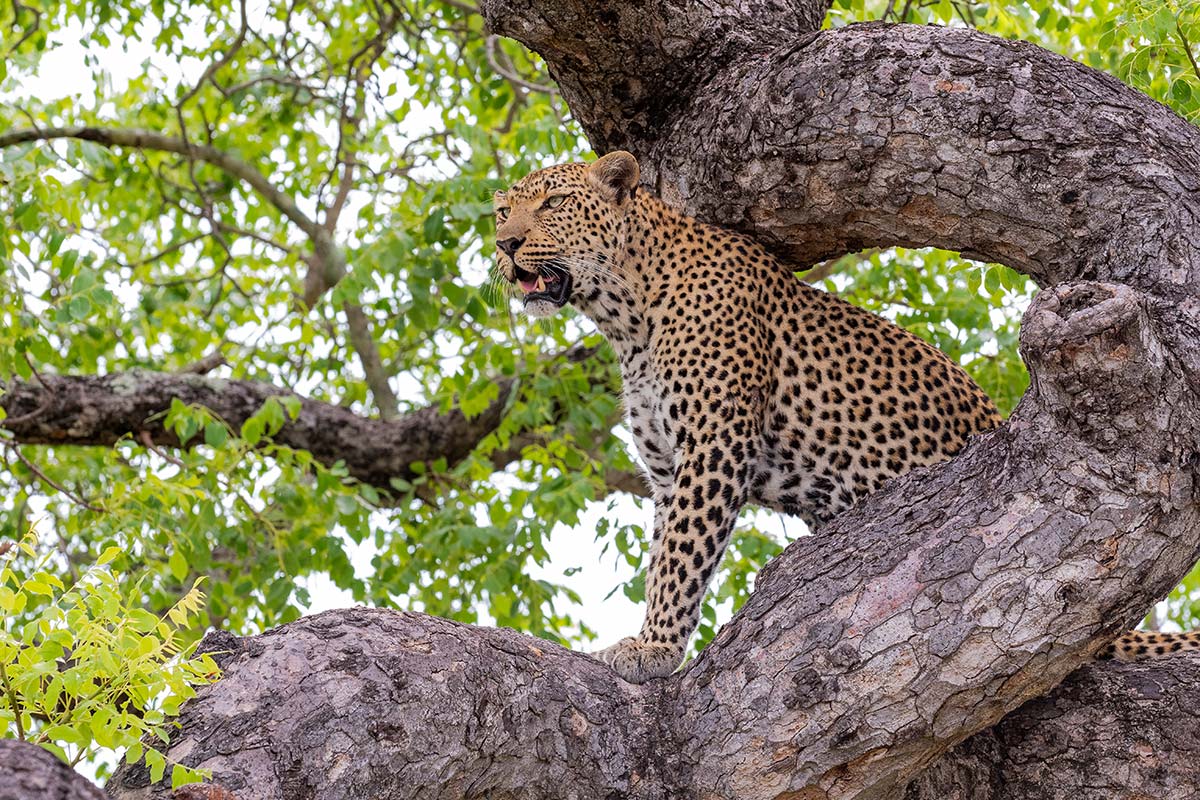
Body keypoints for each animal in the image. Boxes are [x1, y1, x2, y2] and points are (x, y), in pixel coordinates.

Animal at [492, 150, 1200, 683]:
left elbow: (681, 558)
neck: (624, 315)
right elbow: (667, 554)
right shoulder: (668, 469)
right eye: (503, 209)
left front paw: (651, 650)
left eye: (551, 204)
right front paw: (653, 641)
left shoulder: (712, 447)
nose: (504, 243)